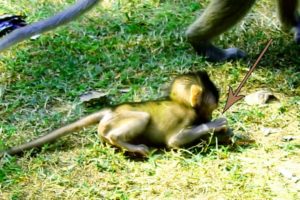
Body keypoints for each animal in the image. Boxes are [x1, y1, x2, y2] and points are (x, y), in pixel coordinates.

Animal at [0, 71, 230, 157]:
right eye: (212, 106)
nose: (210, 117)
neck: (182, 103)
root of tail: (112, 110)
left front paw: (223, 133)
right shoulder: (187, 118)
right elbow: (175, 141)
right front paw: (216, 124)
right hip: (121, 121)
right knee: (133, 123)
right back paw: (134, 147)